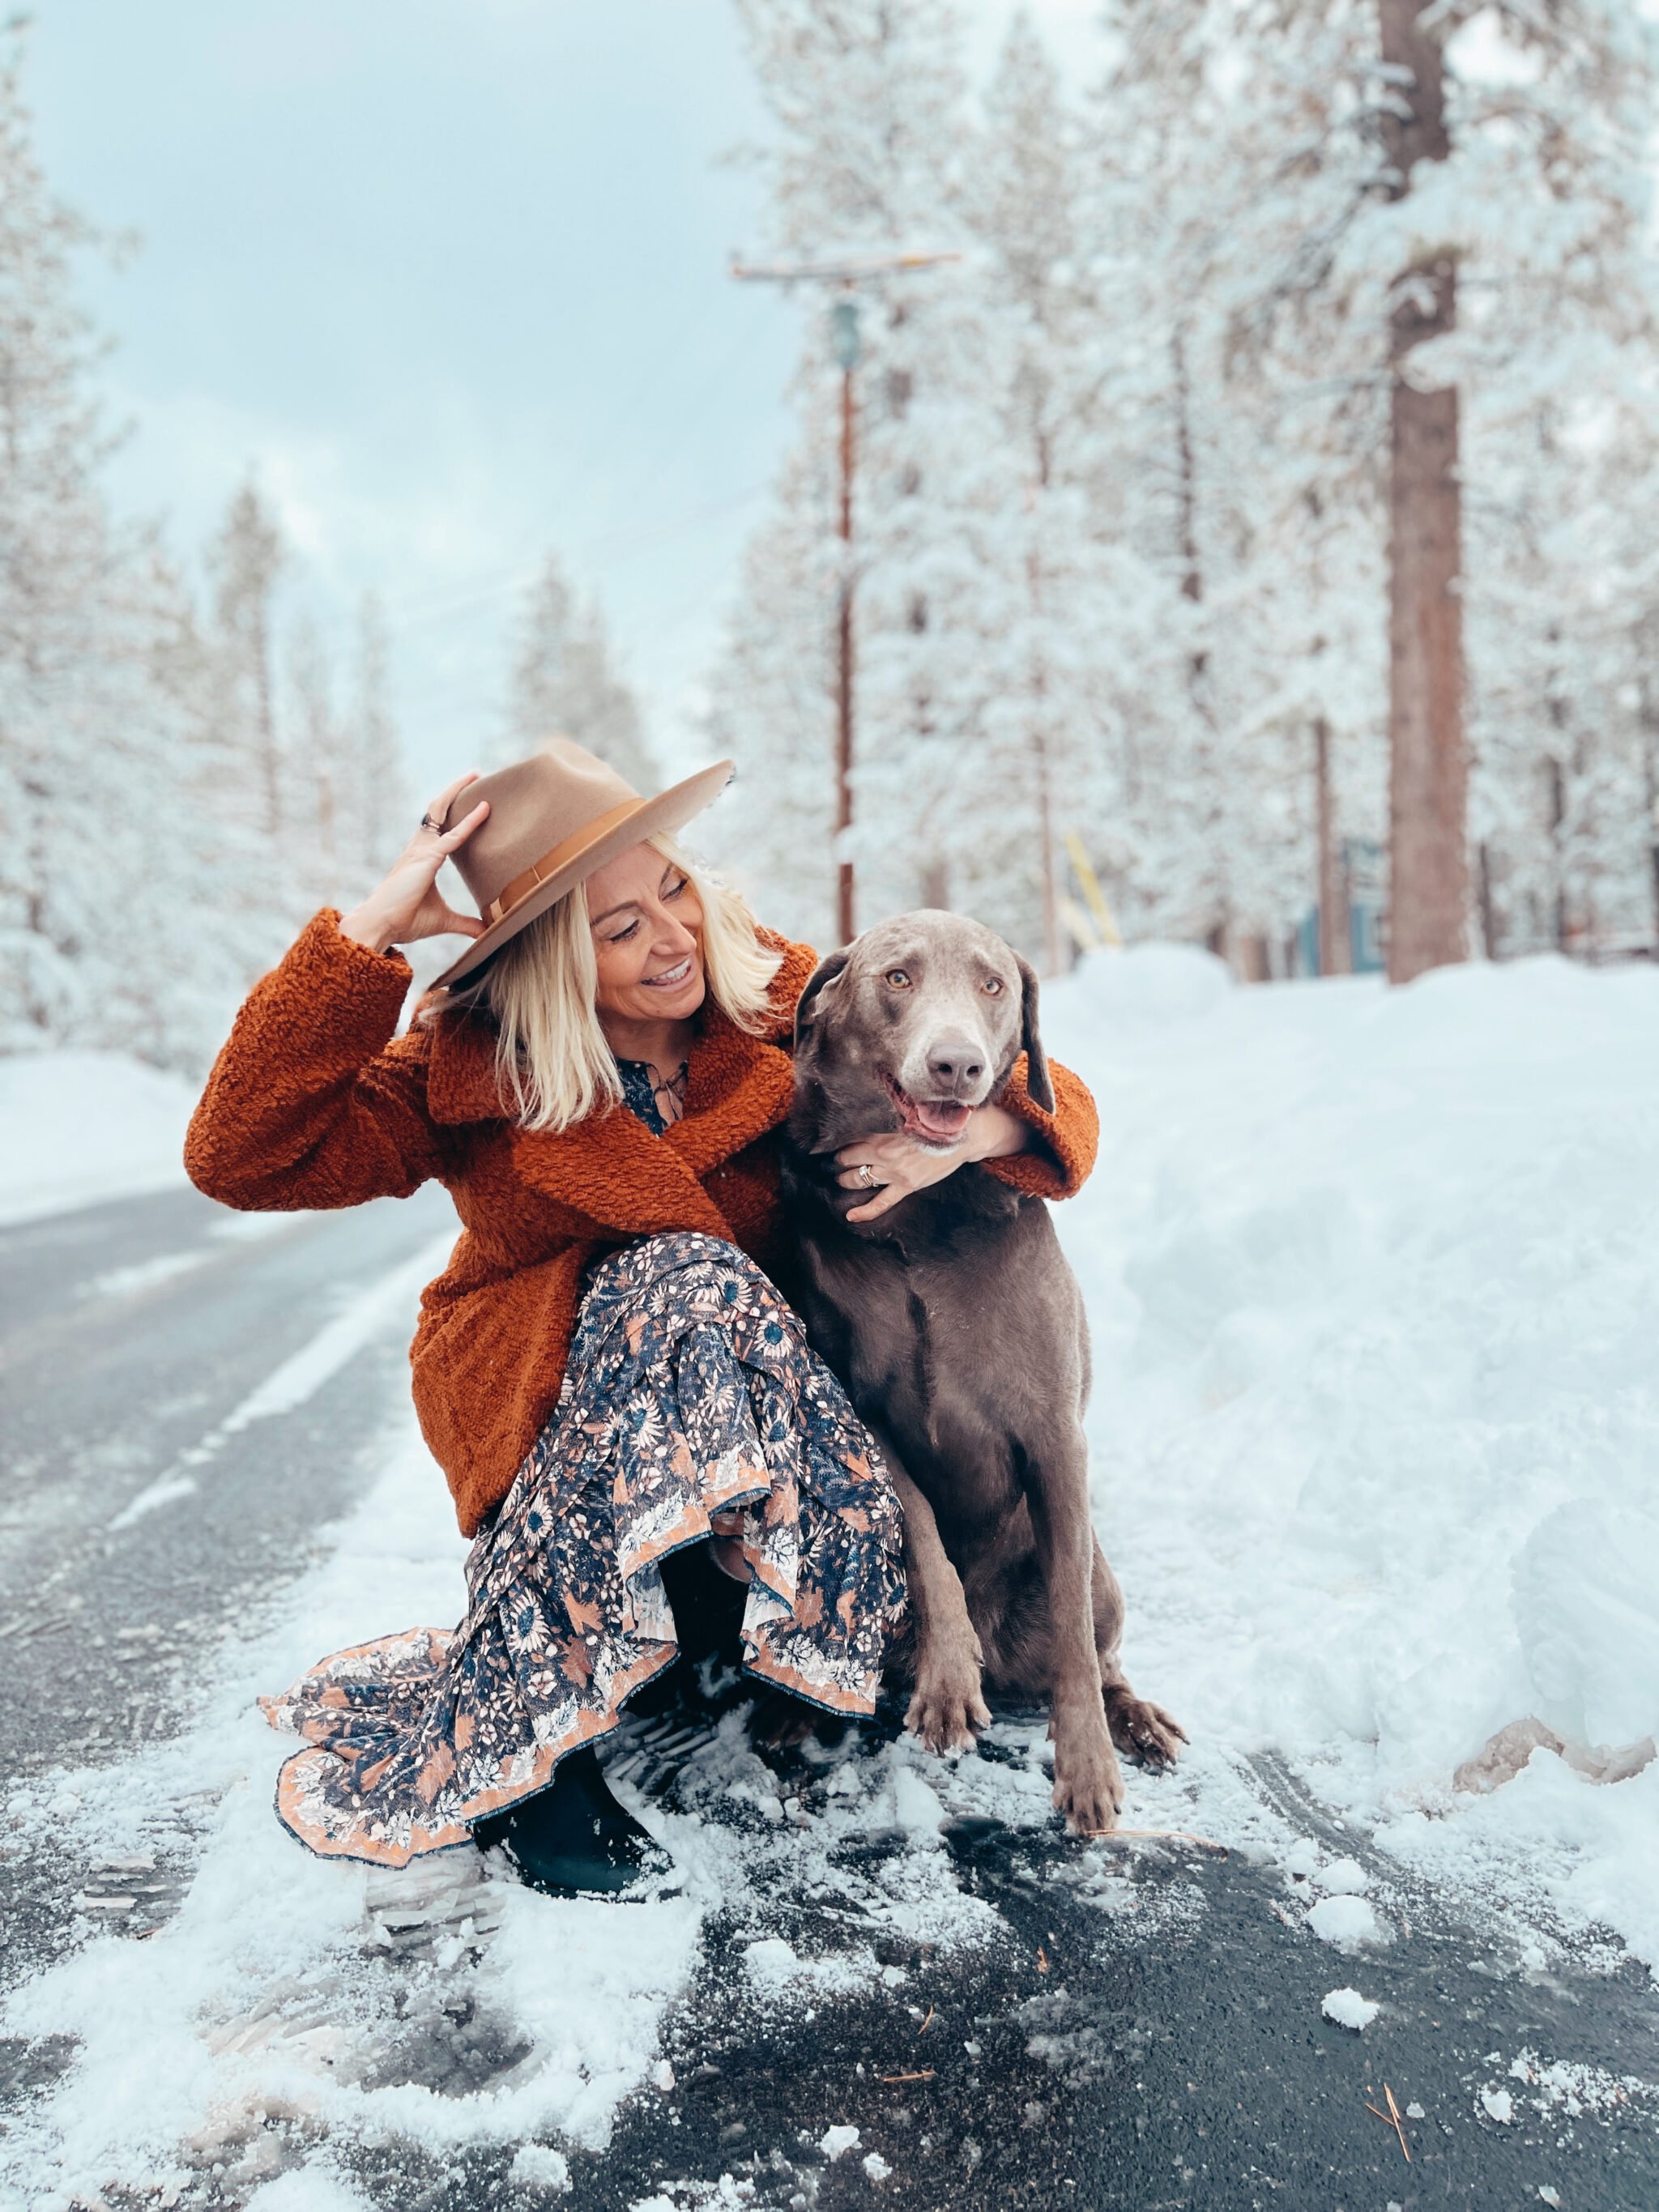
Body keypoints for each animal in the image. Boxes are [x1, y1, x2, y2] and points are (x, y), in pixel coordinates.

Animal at [787, 906, 1185, 1822]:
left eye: (993, 984)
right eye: (897, 977)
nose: (957, 1063)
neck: (919, 1213)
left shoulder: (1054, 1434)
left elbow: (1073, 1631)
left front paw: (1087, 1768)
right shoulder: (863, 1411)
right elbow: (925, 1535)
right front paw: (946, 1677)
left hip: (1105, 1577)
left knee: (1100, 1642)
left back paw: (1135, 1720)